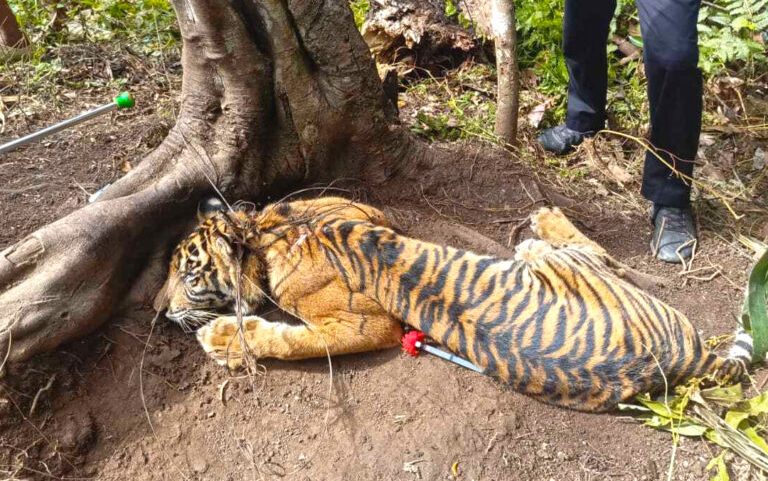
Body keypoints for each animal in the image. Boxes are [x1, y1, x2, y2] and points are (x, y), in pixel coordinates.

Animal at [155, 196, 753, 412]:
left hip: (569, 264)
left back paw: (545, 216)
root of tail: (688, 357)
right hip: (565, 267)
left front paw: (223, 336)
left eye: (187, 274)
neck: (265, 235)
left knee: (599, 252)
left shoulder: (365, 319)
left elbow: (293, 339)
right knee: (592, 253)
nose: (159, 310)